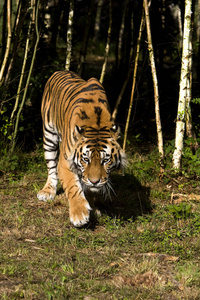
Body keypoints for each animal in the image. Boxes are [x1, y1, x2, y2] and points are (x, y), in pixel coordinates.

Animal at [37, 70, 125, 226]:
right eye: (85, 159)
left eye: (106, 160)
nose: (95, 181)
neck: (96, 125)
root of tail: (60, 71)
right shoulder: (65, 162)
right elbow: (73, 186)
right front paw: (79, 214)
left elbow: (88, 189)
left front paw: (93, 209)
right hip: (49, 136)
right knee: (52, 169)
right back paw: (47, 192)